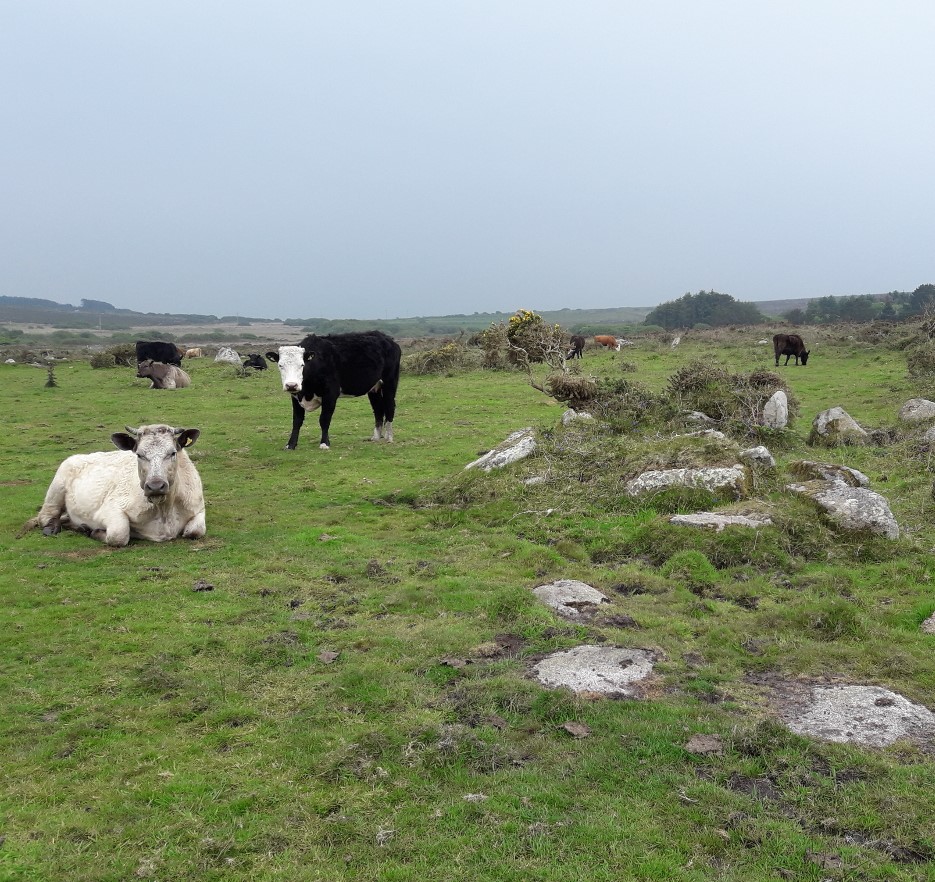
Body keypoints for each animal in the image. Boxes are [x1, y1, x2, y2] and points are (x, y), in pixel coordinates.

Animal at [27, 422, 207, 544]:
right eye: (139, 454)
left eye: (173, 453)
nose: (155, 486)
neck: (164, 512)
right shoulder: (110, 510)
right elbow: (119, 535)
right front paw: (95, 532)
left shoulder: (199, 508)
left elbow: (196, 530)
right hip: (55, 491)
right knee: (45, 516)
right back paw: (55, 528)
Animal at [268, 332, 404, 454]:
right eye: (280, 365)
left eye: (302, 364)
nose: (291, 385)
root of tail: (388, 339)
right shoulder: (296, 397)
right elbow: (297, 421)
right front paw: (290, 444)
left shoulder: (330, 395)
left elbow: (324, 419)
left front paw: (324, 443)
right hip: (374, 388)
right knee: (378, 409)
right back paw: (376, 437)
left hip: (390, 383)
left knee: (390, 406)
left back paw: (389, 437)